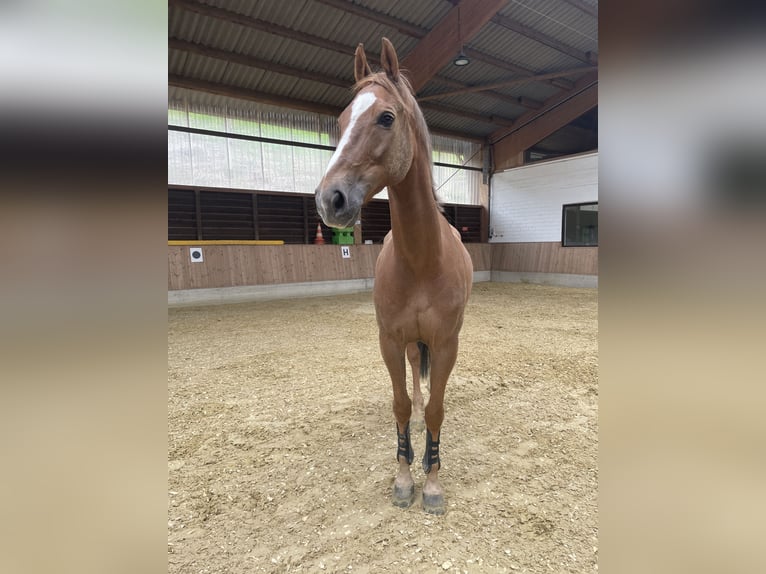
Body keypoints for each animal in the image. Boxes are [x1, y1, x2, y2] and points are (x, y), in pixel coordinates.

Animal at [315, 38, 473, 515]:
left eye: (386, 117)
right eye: (342, 120)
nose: (329, 199)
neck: (421, 260)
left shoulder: (446, 343)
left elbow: (438, 409)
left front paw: (432, 482)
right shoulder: (388, 340)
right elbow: (401, 405)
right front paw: (404, 476)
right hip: (405, 342)